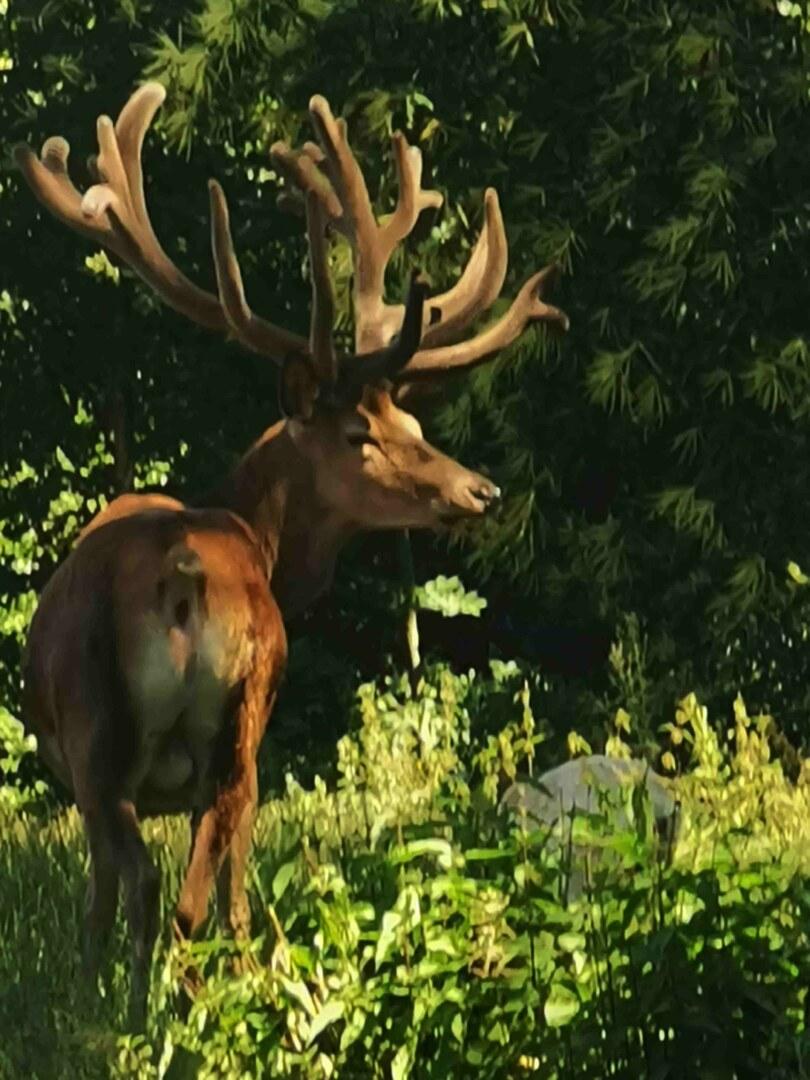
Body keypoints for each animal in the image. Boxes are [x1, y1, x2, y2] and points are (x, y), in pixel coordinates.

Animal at [14, 82, 568, 1028]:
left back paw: (153, 1010)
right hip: (220, 726)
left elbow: (114, 894)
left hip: (145, 730)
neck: (259, 539)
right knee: (182, 887)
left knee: (165, 888)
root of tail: (183, 576)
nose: (480, 491)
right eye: (361, 433)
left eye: (410, 418)